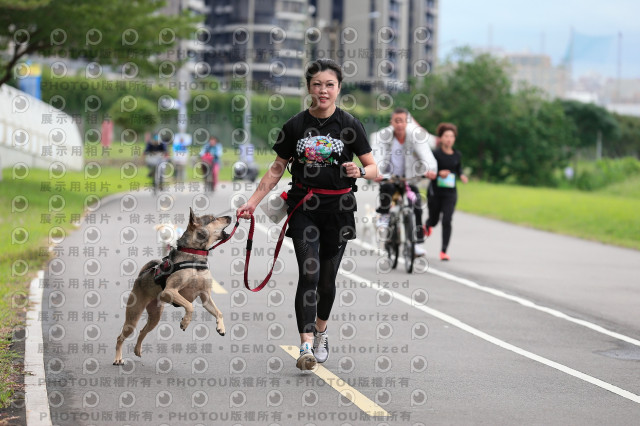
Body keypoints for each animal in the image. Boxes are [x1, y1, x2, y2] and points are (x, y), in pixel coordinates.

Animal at [114, 208, 231, 364]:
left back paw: (137, 350)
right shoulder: (169, 291)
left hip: (155, 316)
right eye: (213, 219)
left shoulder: (205, 296)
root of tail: (141, 275)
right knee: (120, 337)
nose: (230, 216)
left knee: (143, 331)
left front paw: (221, 327)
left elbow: (219, 312)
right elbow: (190, 306)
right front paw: (185, 322)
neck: (195, 254)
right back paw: (118, 358)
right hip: (133, 316)